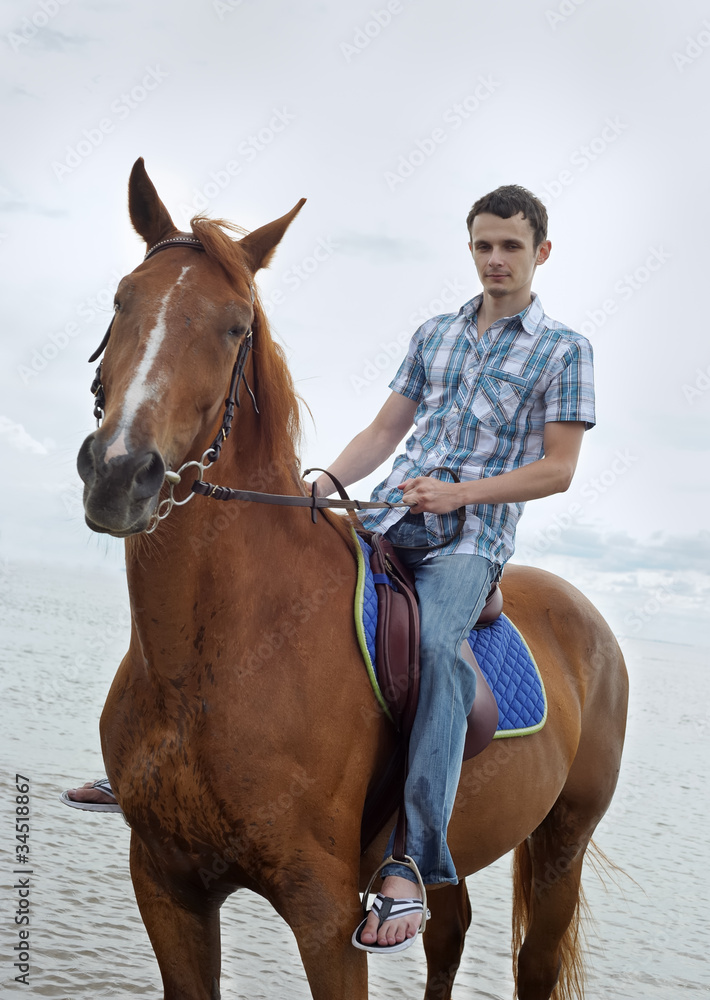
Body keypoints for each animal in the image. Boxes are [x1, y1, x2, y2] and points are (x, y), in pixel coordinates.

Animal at [77, 157, 628, 1000]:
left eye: (235, 325)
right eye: (121, 299)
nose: (118, 473)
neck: (219, 659)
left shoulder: (325, 915)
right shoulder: (167, 888)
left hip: (563, 843)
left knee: (533, 961)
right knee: (449, 934)